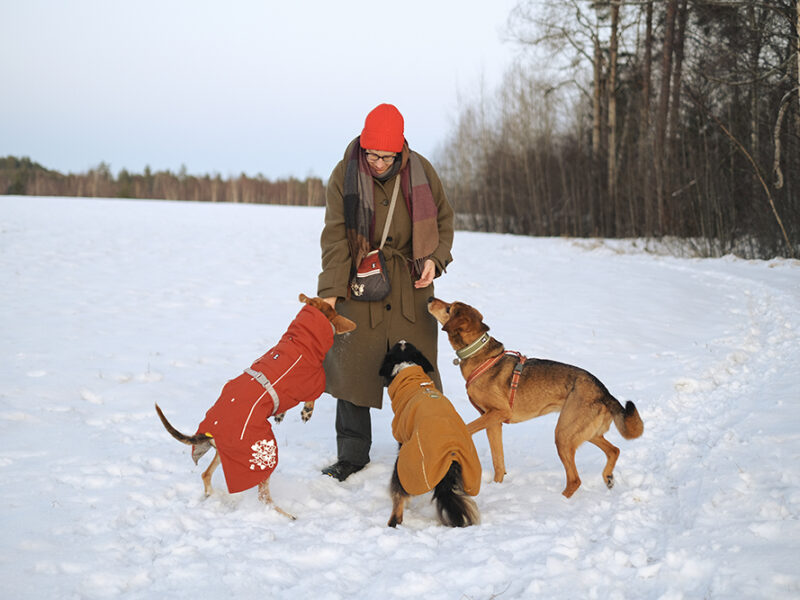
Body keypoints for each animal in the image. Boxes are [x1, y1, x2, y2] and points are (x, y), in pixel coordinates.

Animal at [156, 292, 356, 516]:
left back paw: (212, 495)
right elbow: (311, 399)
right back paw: (285, 515)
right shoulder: (312, 385)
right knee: (263, 497)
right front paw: (306, 411)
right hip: (262, 456)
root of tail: (209, 432)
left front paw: (281, 414)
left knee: (205, 475)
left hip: (227, 456)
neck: (298, 342)